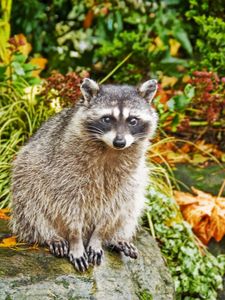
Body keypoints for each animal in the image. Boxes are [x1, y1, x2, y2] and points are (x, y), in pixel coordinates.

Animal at [11, 77, 158, 272]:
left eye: (132, 120)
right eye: (107, 119)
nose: (120, 142)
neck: (109, 148)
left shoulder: (128, 175)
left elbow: (115, 206)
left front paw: (99, 237)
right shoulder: (65, 169)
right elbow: (68, 205)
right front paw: (75, 240)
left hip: (136, 179)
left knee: (131, 205)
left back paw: (116, 237)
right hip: (26, 172)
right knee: (31, 205)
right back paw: (50, 235)